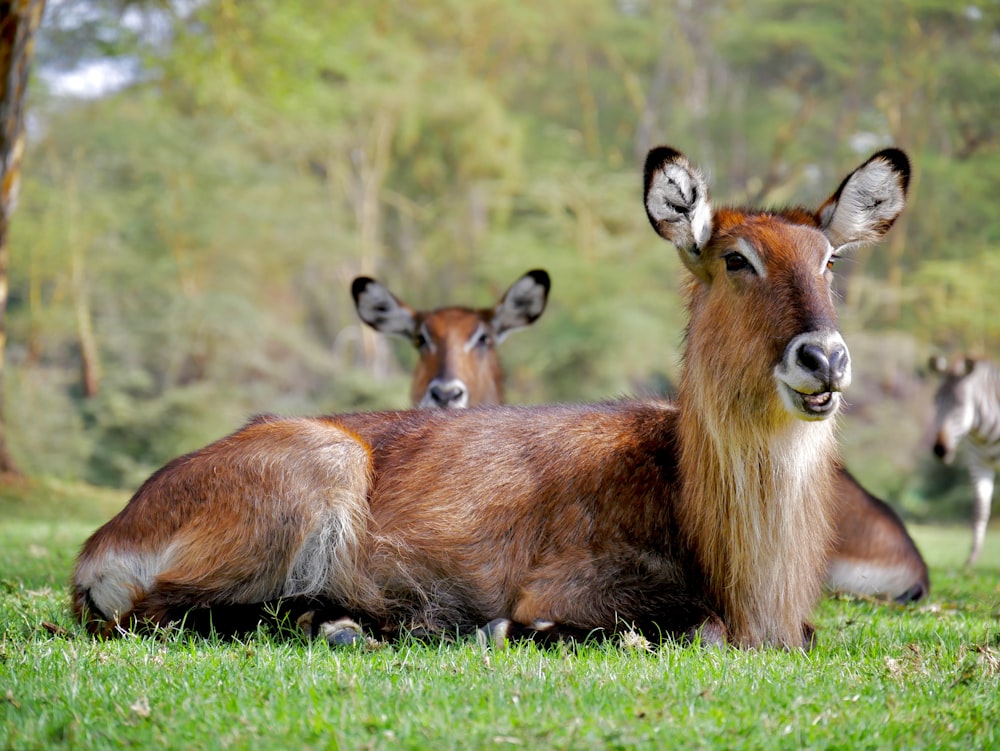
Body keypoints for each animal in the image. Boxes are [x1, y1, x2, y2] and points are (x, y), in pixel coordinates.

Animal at [928, 356, 1000, 564]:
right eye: (935, 400)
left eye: (960, 403)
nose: (940, 450)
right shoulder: (979, 464)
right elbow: (980, 510)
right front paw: (972, 559)